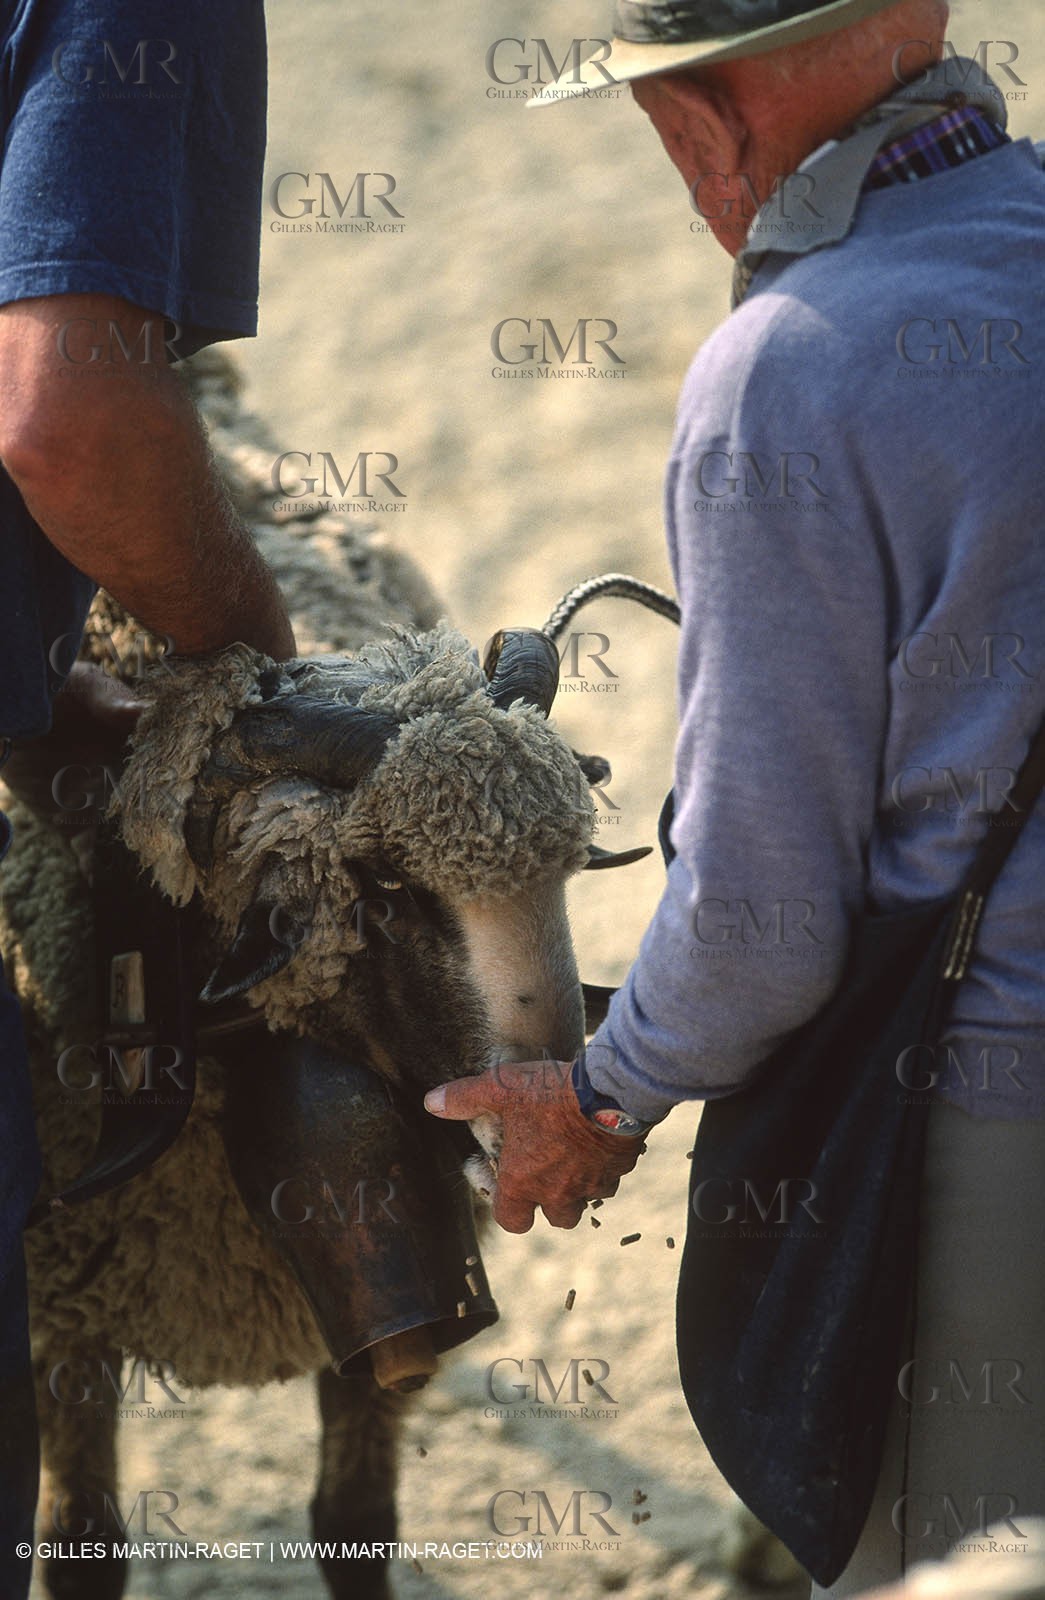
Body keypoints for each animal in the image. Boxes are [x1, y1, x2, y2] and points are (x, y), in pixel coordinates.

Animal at [0, 349, 599, 1600]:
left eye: (574, 870)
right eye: (382, 887)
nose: (549, 1127)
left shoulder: (387, 1303)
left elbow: (355, 1518)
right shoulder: (59, 1317)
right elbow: (82, 1547)